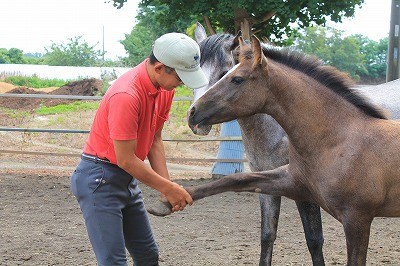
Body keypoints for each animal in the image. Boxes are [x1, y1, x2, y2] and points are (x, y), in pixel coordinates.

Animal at [152, 34, 398, 264]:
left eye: (234, 78)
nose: (193, 114)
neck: (339, 139)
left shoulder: (356, 219)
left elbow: (315, 239)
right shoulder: (289, 181)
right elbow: (242, 188)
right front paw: (167, 201)